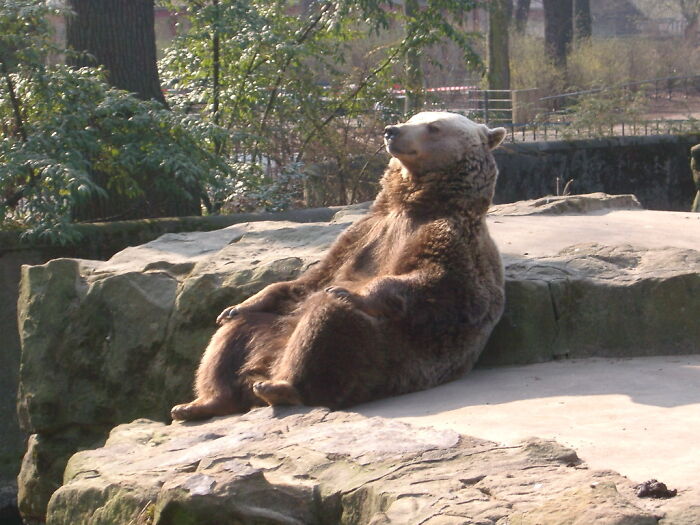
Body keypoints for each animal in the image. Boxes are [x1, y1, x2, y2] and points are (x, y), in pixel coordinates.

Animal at [171, 111, 507, 420]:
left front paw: (350, 292)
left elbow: (437, 284)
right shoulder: (363, 233)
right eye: (412, 117)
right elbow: (309, 279)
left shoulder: (450, 239)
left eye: (433, 127)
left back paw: (280, 385)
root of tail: (266, 365)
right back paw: (200, 402)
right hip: (276, 327)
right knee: (234, 334)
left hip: (387, 352)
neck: (415, 203)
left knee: (329, 324)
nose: (392, 130)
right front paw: (237, 305)